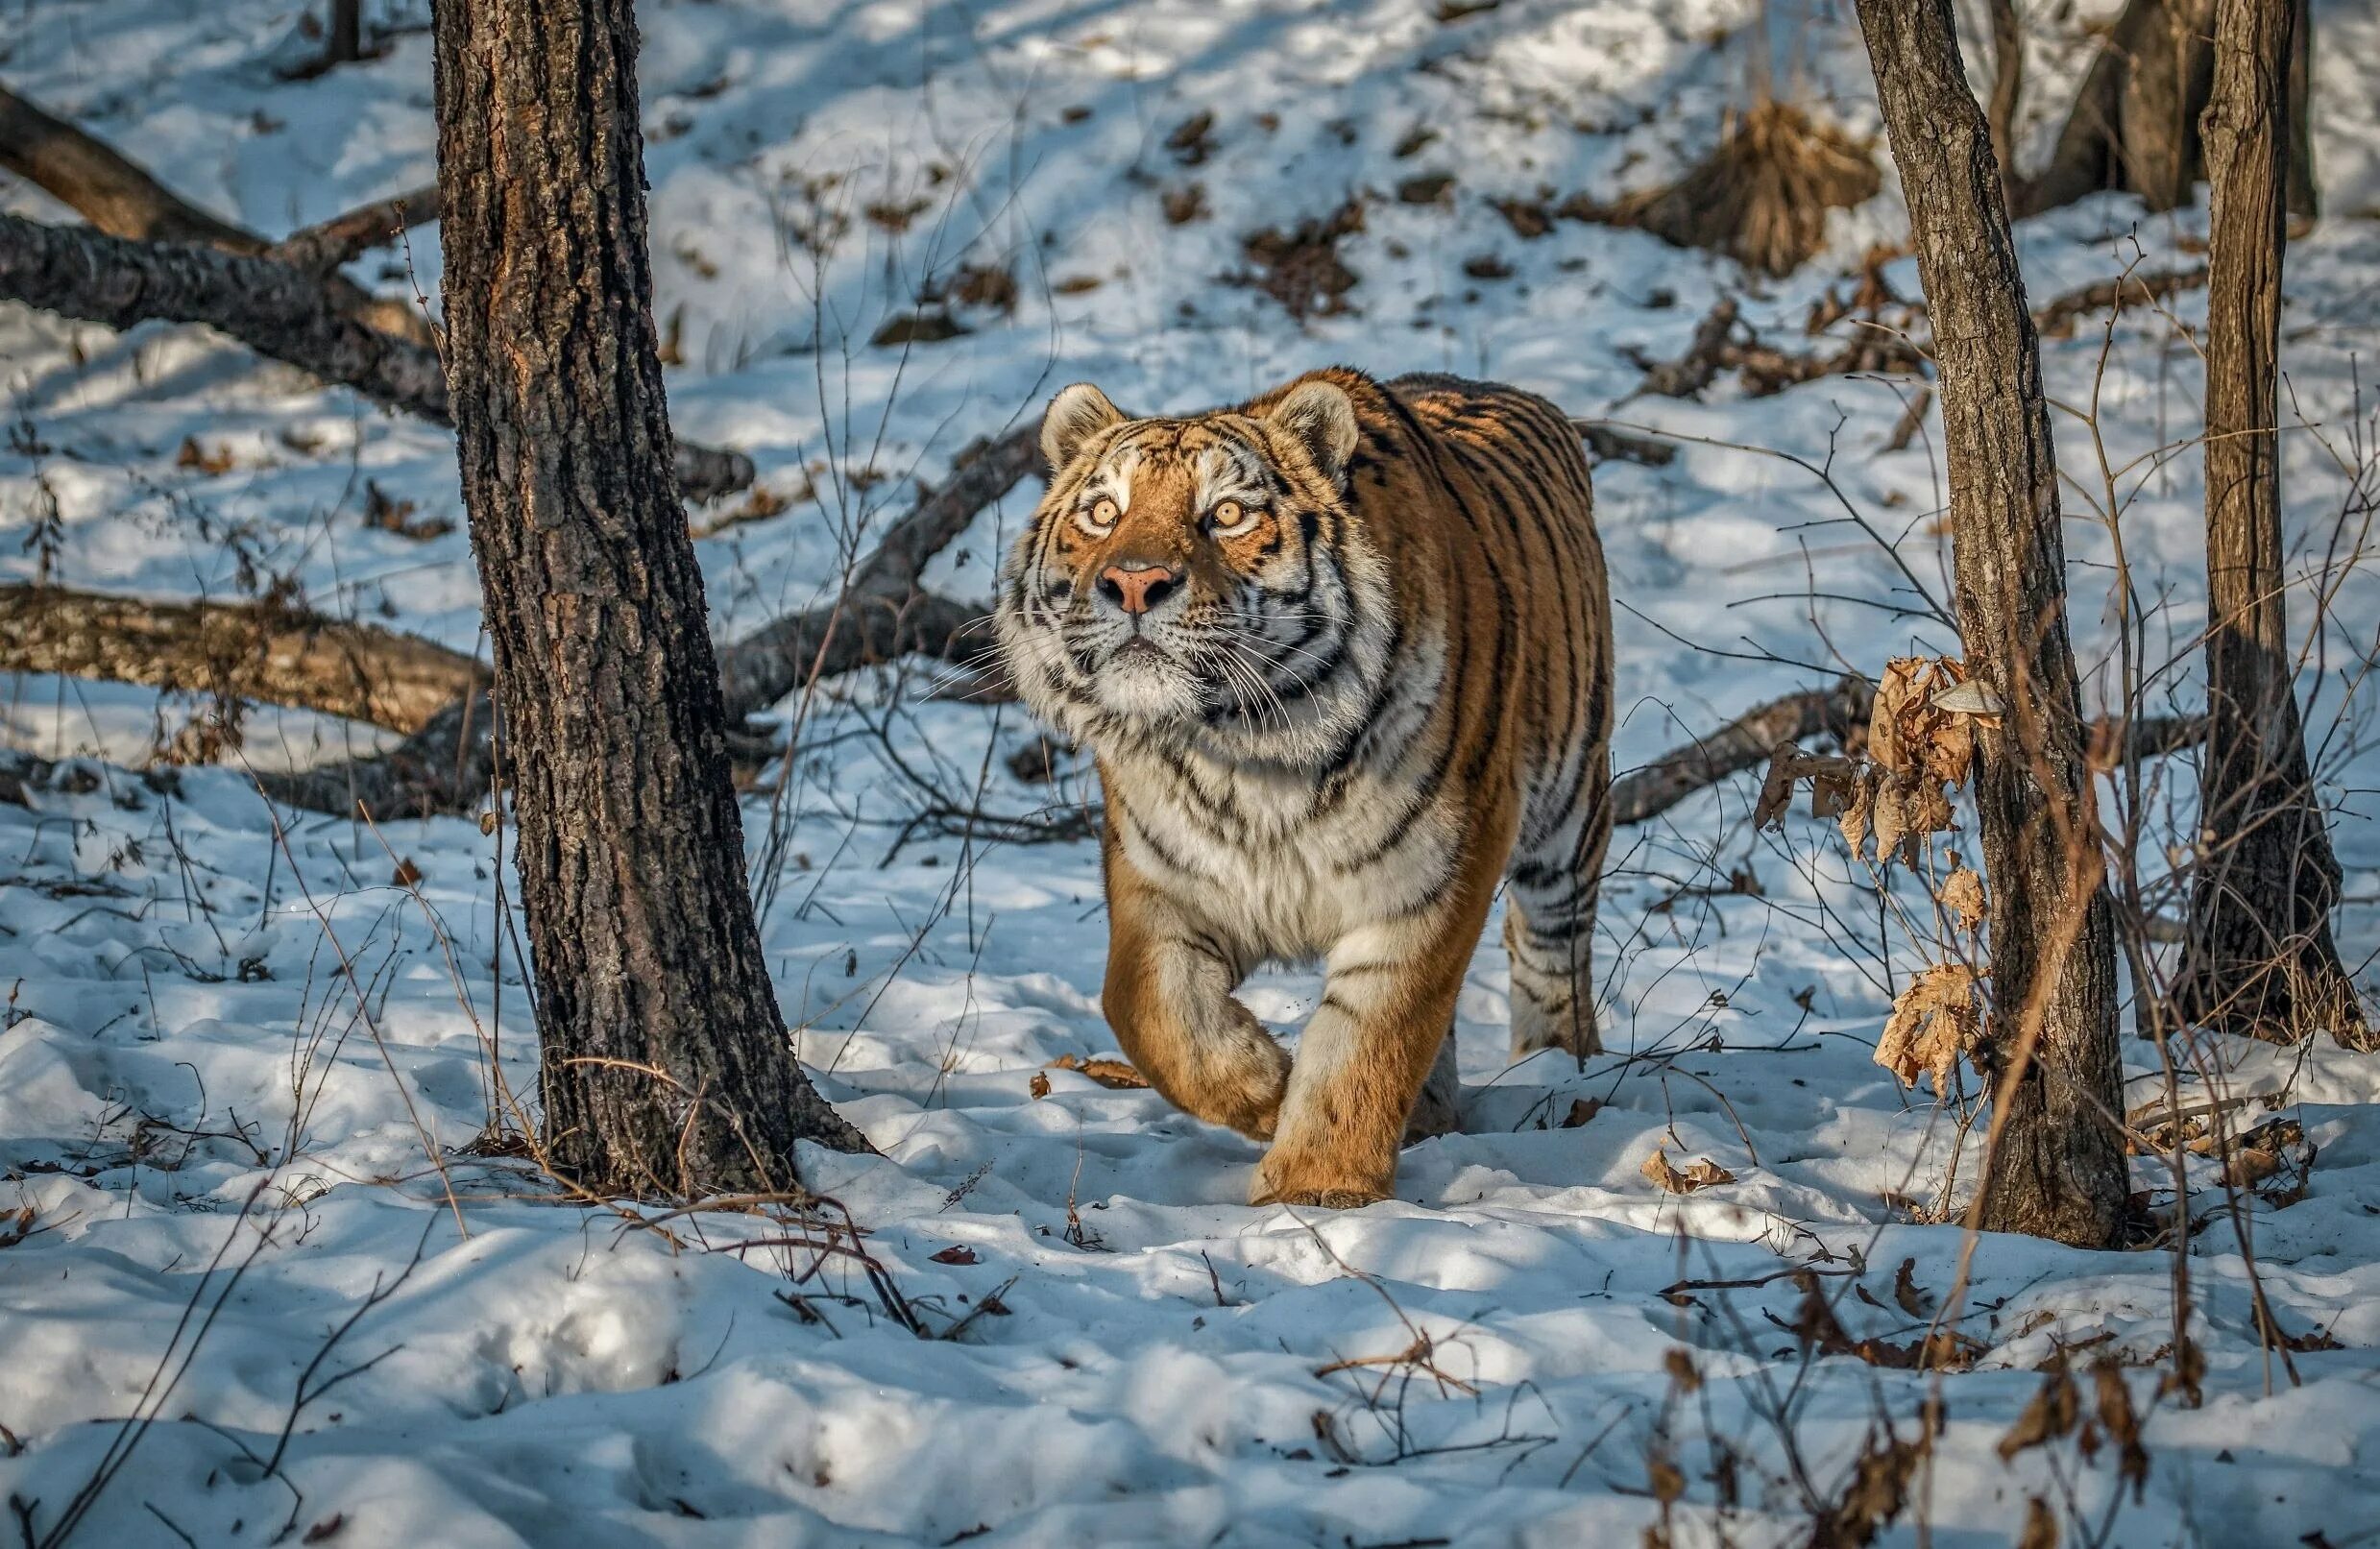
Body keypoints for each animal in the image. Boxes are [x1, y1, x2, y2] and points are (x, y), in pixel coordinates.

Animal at [984, 366, 1618, 1213]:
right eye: (1103, 513)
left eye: (1226, 513)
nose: (1134, 583)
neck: (1249, 747)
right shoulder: (1159, 882)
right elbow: (1147, 1010)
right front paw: (1264, 1089)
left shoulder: (1426, 883)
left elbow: (1369, 1043)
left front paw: (1317, 1188)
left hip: (1568, 818)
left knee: (1552, 957)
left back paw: (1558, 1076)